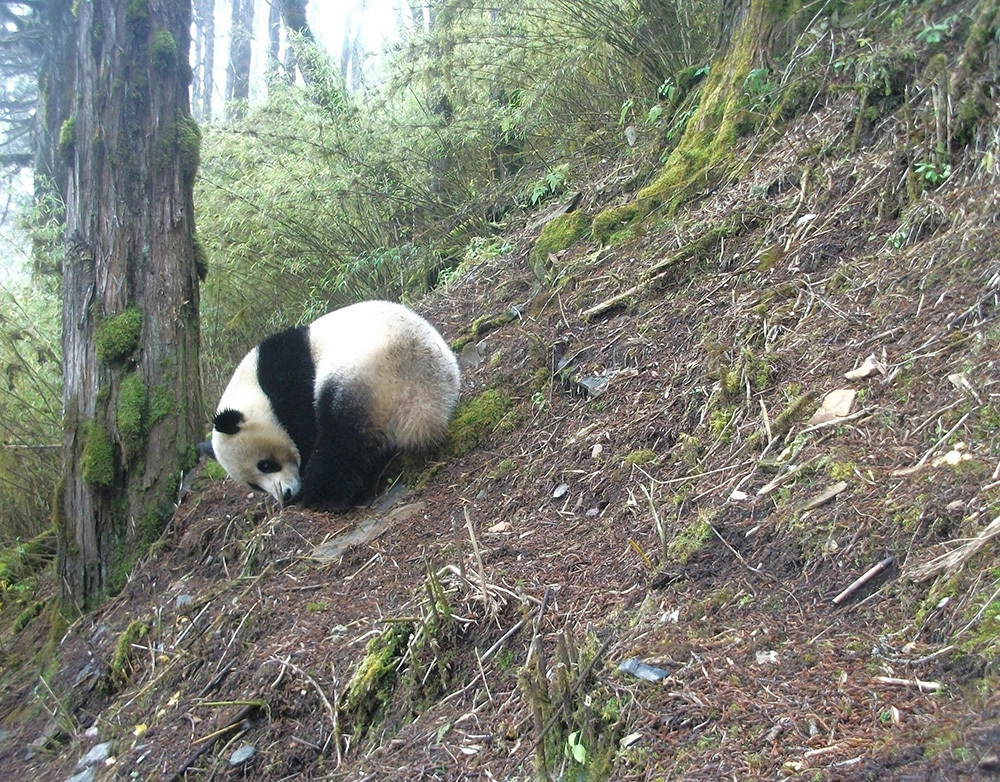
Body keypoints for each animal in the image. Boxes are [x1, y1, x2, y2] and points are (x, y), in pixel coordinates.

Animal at [203, 302, 460, 516]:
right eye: (254, 485)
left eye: (265, 465)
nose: (286, 494)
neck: (253, 388)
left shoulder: (289, 384)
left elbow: (304, 430)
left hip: (360, 377)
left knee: (342, 441)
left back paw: (322, 496)